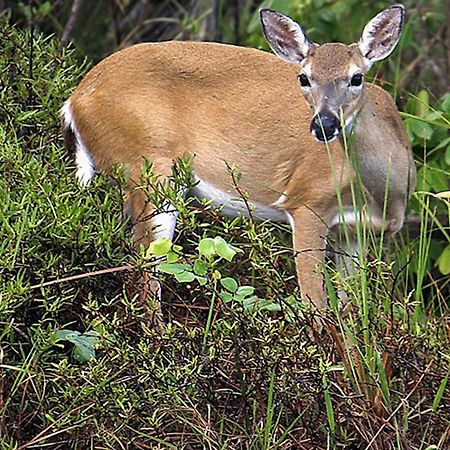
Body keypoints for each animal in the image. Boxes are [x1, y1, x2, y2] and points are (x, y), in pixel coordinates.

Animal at [61, 5, 416, 312]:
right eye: (303, 77)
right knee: (144, 275)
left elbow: (353, 313)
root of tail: (75, 99)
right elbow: (315, 305)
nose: (323, 125)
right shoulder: (307, 202)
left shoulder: (356, 232)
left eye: (357, 77)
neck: (381, 192)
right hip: (151, 171)